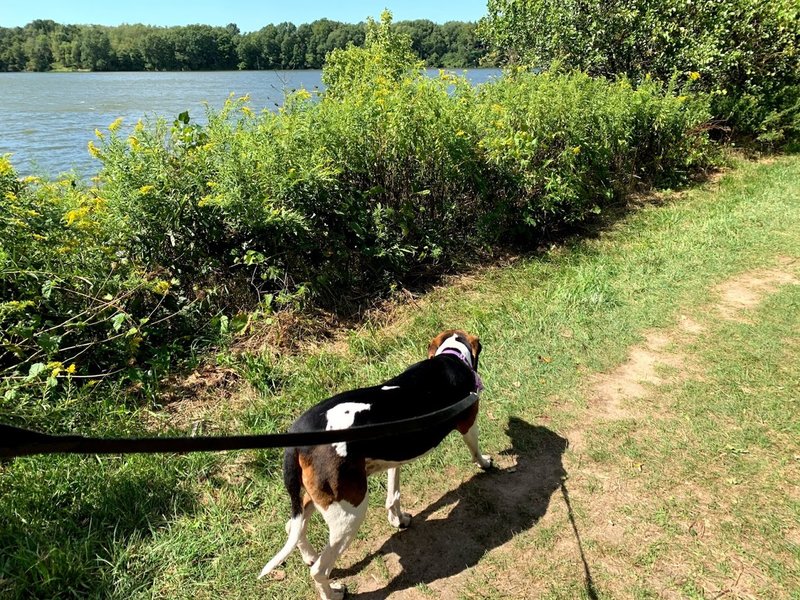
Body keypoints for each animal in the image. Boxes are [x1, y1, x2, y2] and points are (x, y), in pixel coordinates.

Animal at [260, 330, 490, 596]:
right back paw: (333, 592)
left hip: (319, 496)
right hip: (349, 512)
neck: (451, 356)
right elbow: (475, 449)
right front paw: (485, 463)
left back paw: (309, 555)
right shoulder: (469, 423)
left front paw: (398, 519)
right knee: (319, 570)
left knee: (292, 527)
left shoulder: (394, 457)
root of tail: (297, 440)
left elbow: (393, 493)